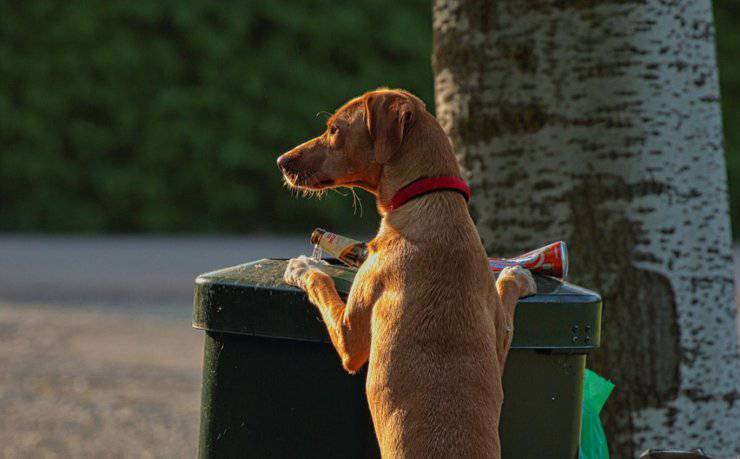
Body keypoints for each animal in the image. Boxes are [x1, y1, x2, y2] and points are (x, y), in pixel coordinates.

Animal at [278, 88, 532, 458]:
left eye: (334, 129)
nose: (281, 161)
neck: (430, 202)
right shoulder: (498, 338)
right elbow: (506, 301)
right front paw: (517, 274)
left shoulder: (350, 339)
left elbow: (320, 280)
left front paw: (304, 266)